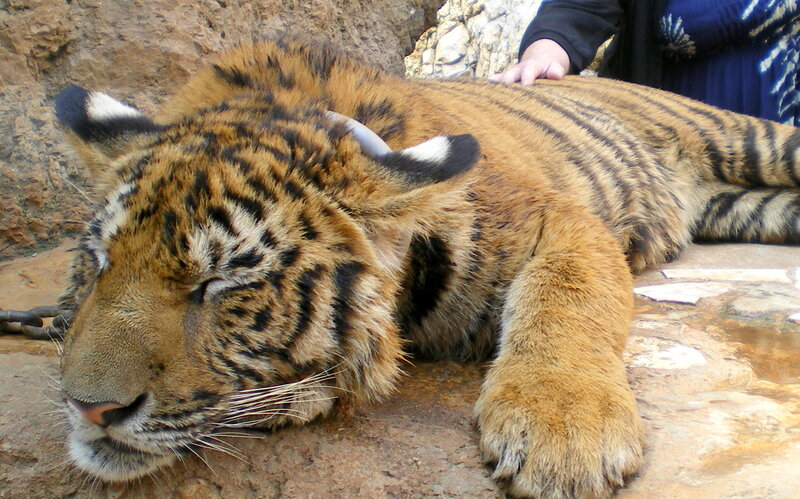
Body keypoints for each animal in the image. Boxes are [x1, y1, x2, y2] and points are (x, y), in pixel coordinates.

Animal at [52, 38, 800, 498]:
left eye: (219, 284)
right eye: (99, 262)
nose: (89, 407)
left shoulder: (558, 219)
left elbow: (567, 298)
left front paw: (564, 434)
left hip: (751, 139)